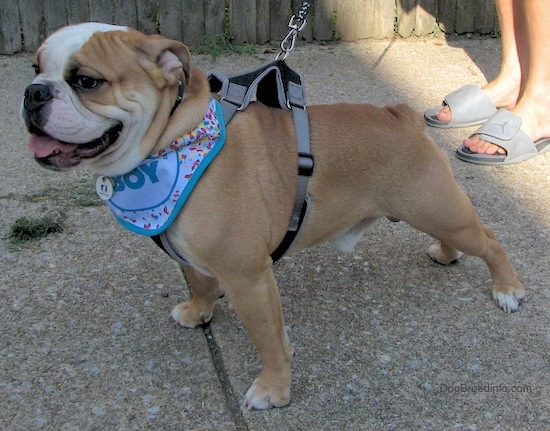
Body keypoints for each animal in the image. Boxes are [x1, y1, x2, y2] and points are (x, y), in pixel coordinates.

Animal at [21, 23, 528, 412]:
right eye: (34, 68)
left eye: (87, 81)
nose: (32, 92)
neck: (175, 139)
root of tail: (399, 113)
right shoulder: (191, 251)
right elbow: (199, 281)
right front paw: (199, 311)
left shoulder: (249, 279)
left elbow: (268, 341)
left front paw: (274, 391)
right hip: (432, 211)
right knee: (458, 238)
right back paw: (445, 254)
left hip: (439, 208)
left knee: (489, 239)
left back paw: (507, 289)